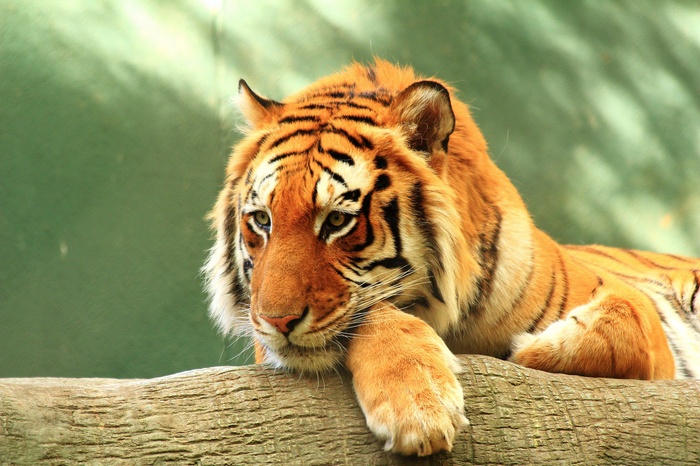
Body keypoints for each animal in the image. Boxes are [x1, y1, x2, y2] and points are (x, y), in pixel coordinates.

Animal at [204, 58, 700, 456]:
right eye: (262, 220)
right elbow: (375, 312)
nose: (275, 322)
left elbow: (624, 321)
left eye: (338, 221)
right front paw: (417, 408)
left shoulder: (629, 307)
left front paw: (529, 349)